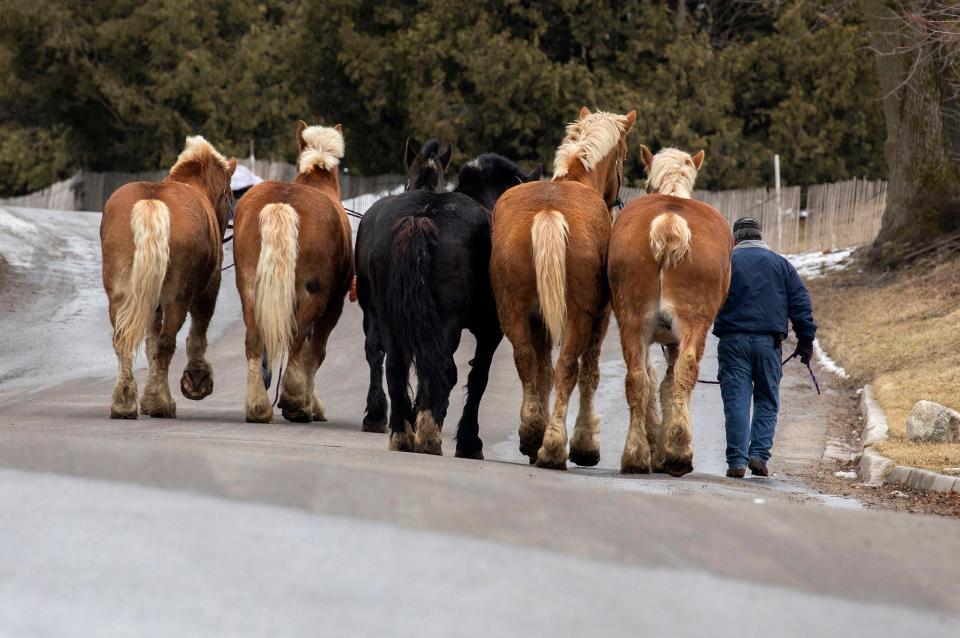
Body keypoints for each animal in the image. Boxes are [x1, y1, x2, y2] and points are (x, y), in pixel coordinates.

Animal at [99, 136, 238, 420]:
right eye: (229, 194)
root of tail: (151, 202)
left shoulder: (152, 302)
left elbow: (150, 342)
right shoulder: (209, 289)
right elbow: (197, 332)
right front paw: (197, 378)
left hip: (120, 295)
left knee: (123, 341)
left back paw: (124, 402)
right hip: (177, 298)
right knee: (166, 344)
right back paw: (160, 403)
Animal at [232, 122, 352, 428]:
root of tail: (282, 203)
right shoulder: (334, 304)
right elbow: (316, 350)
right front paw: (308, 402)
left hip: (249, 290)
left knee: (254, 339)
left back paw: (258, 406)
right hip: (315, 297)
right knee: (297, 339)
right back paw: (295, 402)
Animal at [356, 141, 544, 460]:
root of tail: (422, 218)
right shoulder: (491, 330)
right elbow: (477, 377)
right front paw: (469, 441)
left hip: (387, 315)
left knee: (394, 364)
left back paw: (401, 431)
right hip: (443, 322)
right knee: (439, 368)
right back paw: (429, 434)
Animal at [492, 107, 632, 470]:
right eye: (624, 154)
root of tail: (549, 209)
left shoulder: (538, 319)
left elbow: (542, 371)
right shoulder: (601, 317)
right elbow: (588, 373)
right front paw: (585, 444)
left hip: (513, 311)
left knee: (526, 358)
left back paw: (532, 435)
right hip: (580, 318)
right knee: (569, 366)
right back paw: (554, 445)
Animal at [612, 144, 732, 476]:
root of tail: (669, 218)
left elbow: (656, 381)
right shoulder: (674, 340)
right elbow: (667, 384)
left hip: (632, 322)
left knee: (637, 379)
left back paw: (636, 456)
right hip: (694, 325)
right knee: (683, 372)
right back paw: (677, 452)